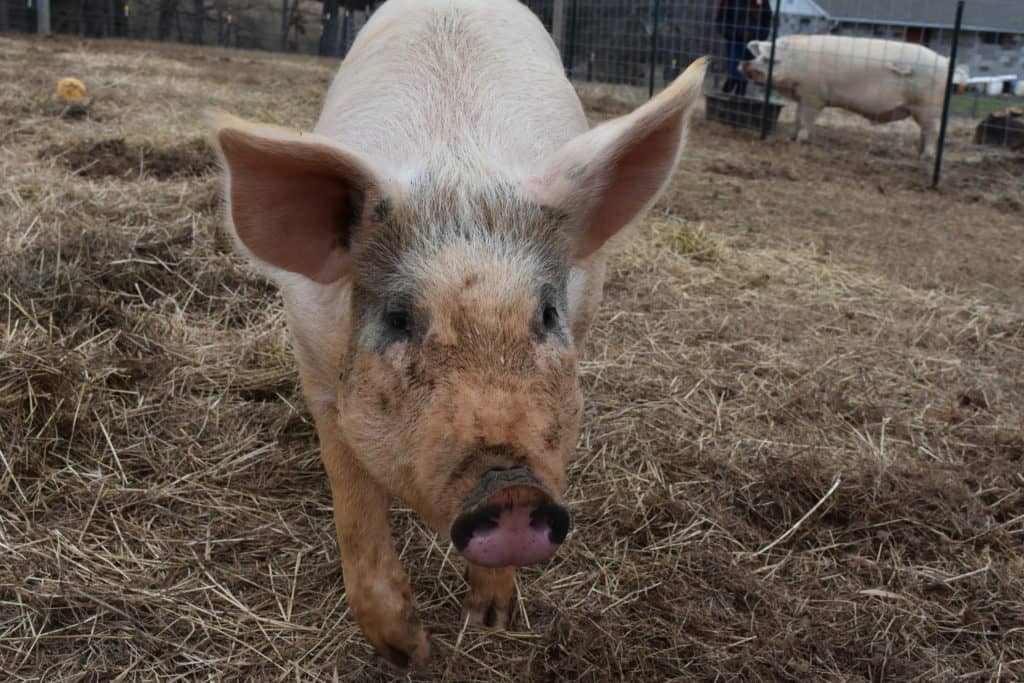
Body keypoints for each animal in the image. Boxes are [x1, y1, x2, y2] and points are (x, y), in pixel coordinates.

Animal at [208, 0, 704, 667]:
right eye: (399, 318)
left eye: (547, 315)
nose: (512, 493)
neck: (456, 170)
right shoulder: (314, 359)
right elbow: (353, 497)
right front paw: (409, 652)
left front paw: (487, 623)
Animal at [737, 35, 966, 157]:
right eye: (758, 56)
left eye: (769, 59)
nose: (743, 64)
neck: (797, 63)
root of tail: (945, 61)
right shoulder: (803, 95)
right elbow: (797, 118)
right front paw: (791, 138)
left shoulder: (813, 95)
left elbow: (806, 120)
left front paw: (800, 140)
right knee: (925, 132)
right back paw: (919, 153)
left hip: (928, 106)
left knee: (932, 131)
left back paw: (926, 157)